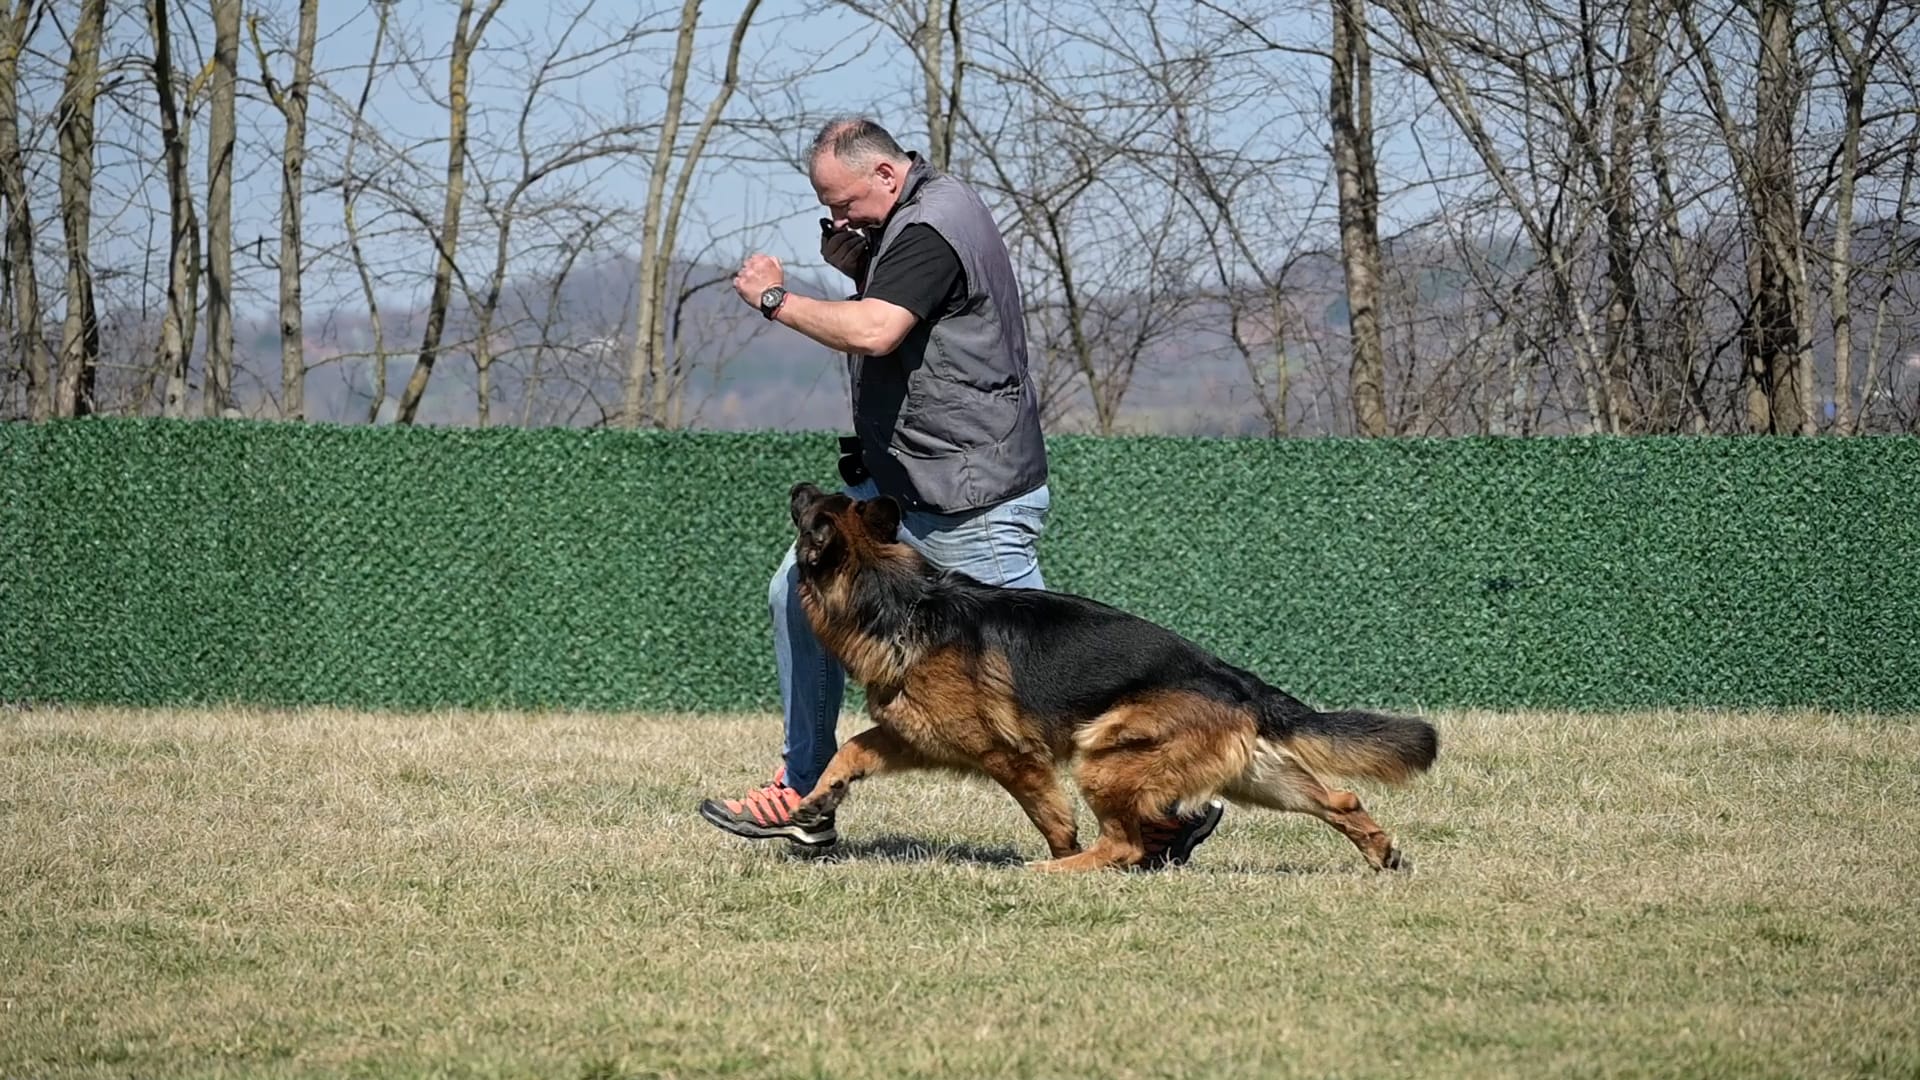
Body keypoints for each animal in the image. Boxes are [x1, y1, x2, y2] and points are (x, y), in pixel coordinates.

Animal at [782, 482, 1439, 873]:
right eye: (822, 500)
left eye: (810, 511)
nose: (796, 485)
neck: (897, 600)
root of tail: (1235, 680)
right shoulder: (908, 736)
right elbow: (849, 751)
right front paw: (816, 803)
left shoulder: (1010, 757)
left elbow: (1050, 815)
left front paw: (1059, 849)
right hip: (1259, 778)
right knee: (1341, 798)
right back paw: (1381, 854)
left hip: (1102, 756)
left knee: (1121, 842)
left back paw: (1060, 870)